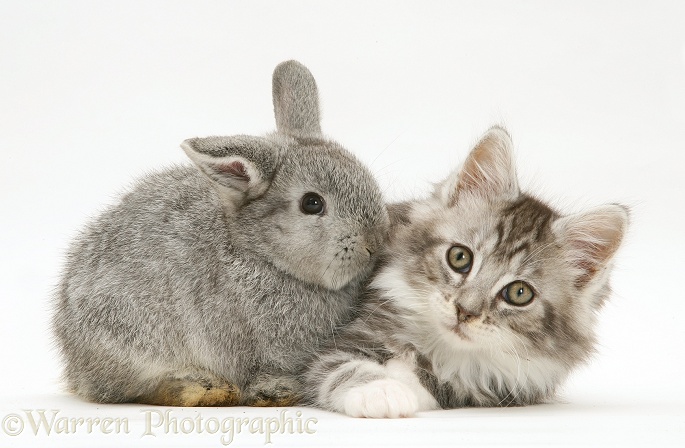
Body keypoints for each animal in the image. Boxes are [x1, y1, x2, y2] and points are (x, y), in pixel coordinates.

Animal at [304, 127, 624, 420]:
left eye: (519, 293)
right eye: (460, 258)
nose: (465, 311)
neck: (441, 346)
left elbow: (448, 383)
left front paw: (405, 378)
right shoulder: (339, 343)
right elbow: (339, 366)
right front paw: (380, 391)